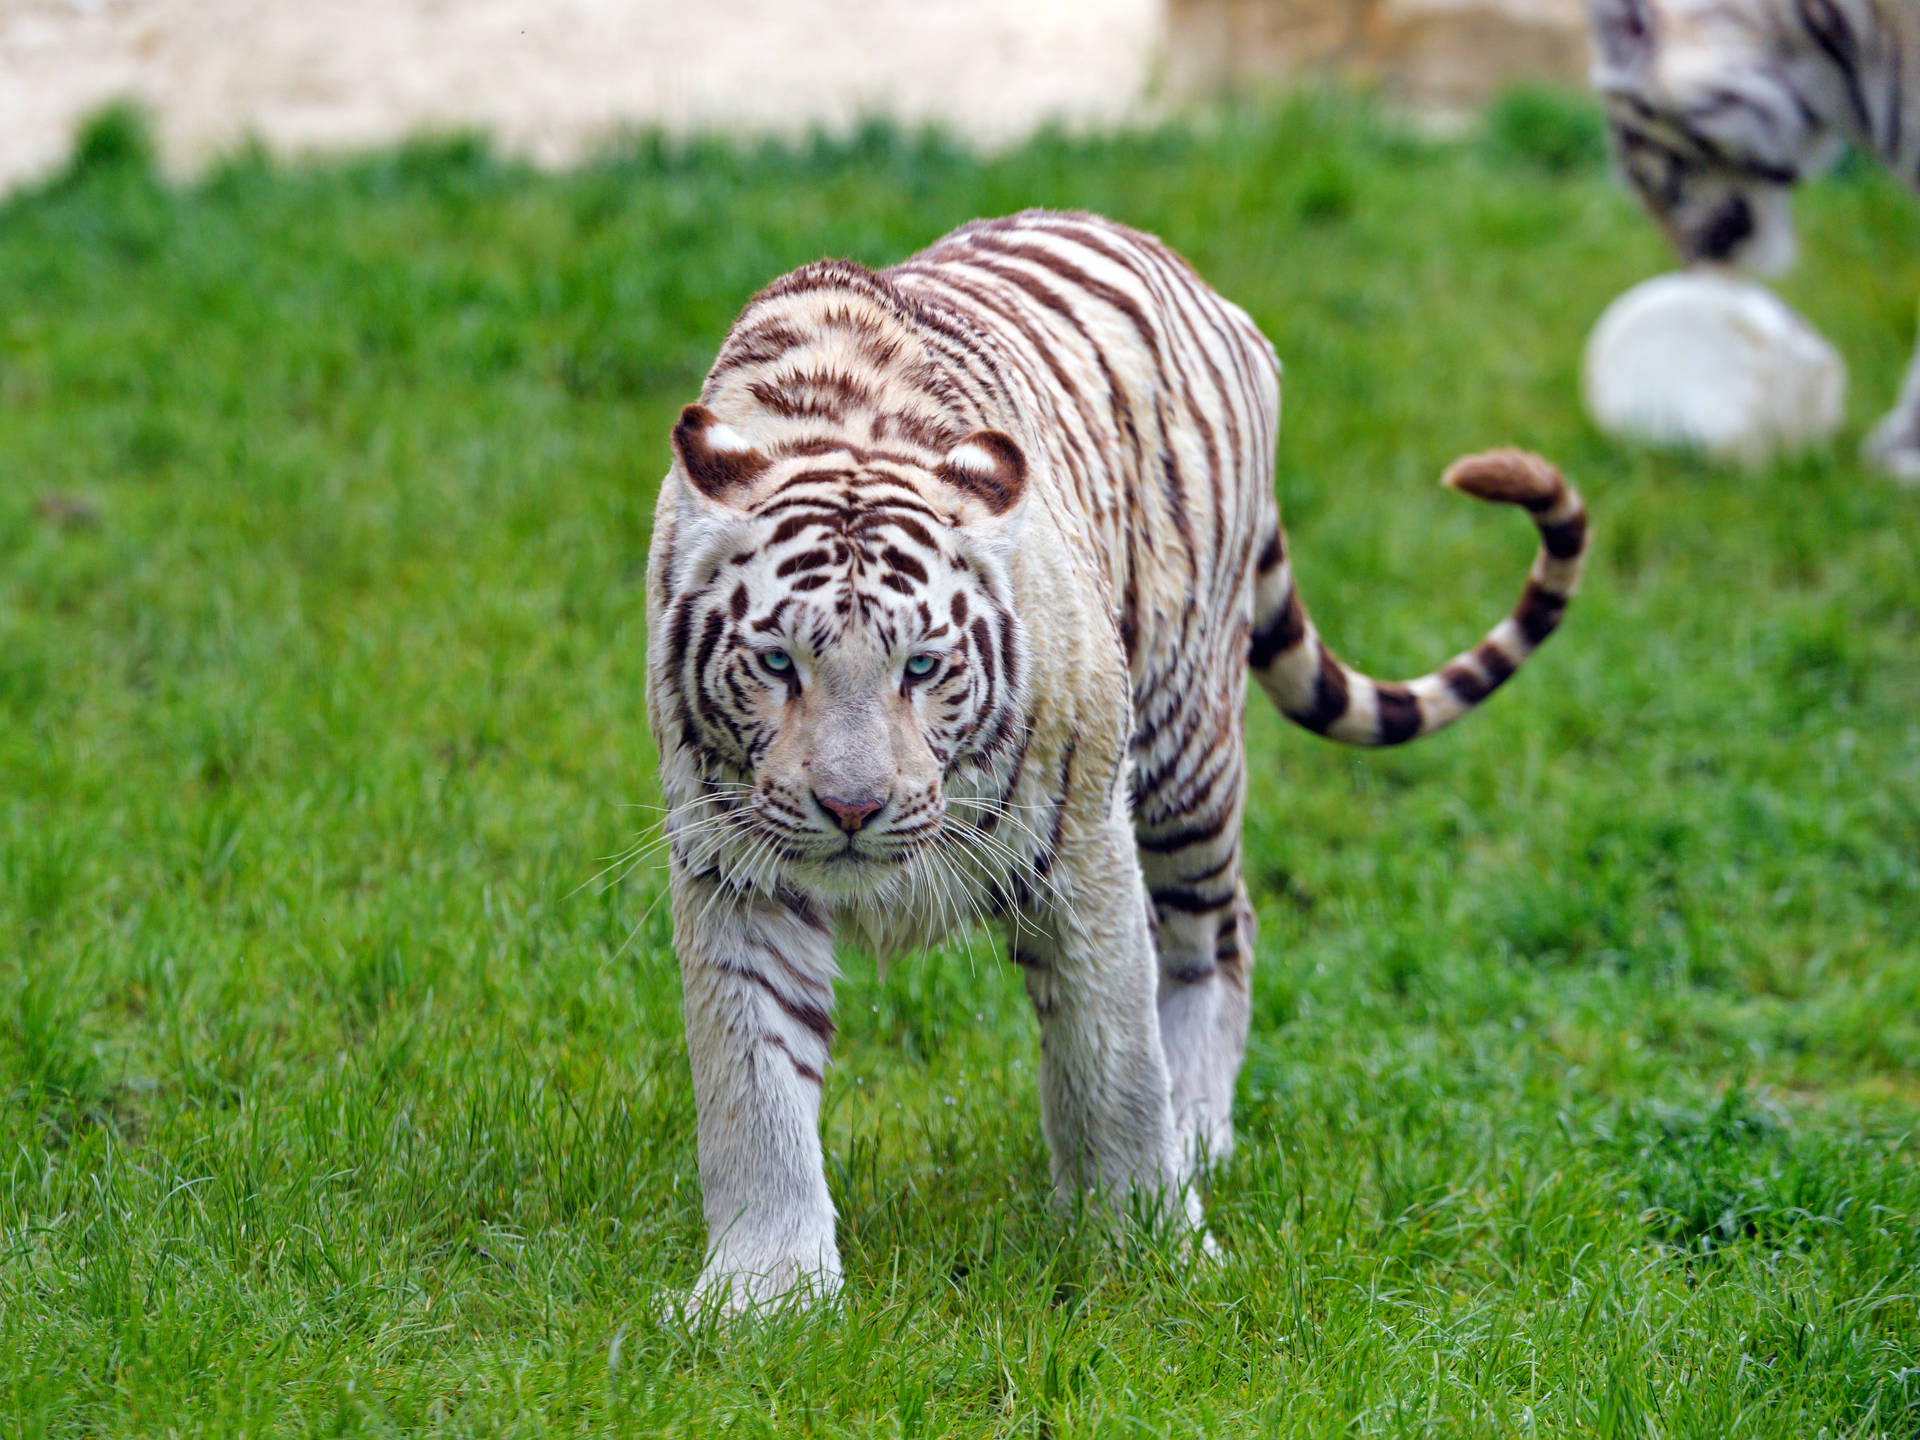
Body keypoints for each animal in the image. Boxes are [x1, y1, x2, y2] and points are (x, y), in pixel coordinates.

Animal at [644, 209, 1589, 1315]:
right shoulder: (732, 867)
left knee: (1220, 930)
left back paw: (1198, 1131)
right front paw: (763, 1296)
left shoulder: (1080, 847)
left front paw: (1155, 1248)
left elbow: (1113, 1060)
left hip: (1184, 746)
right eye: (776, 663)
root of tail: (1178, 266)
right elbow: (753, 1087)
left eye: (922, 666)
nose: (852, 809)